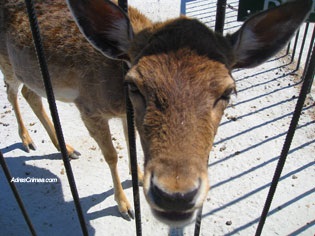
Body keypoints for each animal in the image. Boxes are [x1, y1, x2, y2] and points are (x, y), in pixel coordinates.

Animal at [0, 0, 312, 226]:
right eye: (133, 84)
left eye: (228, 91)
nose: (175, 195)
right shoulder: (87, 105)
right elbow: (111, 154)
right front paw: (125, 206)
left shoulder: (123, 115)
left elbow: (131, 144)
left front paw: (138, 177)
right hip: (7, 62)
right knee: (12, 92)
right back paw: (29, 141)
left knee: (30, 94)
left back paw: (63, 146)